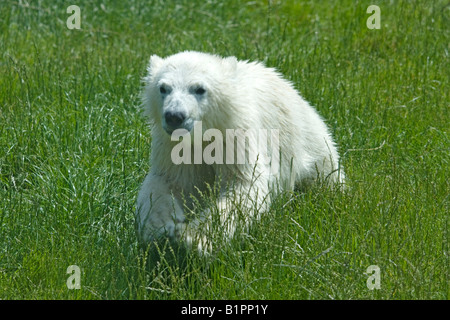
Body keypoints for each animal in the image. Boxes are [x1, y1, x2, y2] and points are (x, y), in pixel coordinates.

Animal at [137, 50, 344, 252]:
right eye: (163, 88)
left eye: (199, 89)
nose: (174, 116)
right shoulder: (173, 146)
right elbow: (166, 183)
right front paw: (161, 231)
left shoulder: (235, 137)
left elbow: (243, 185)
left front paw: (195, 239)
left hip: (307, 141)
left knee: (324, 173)